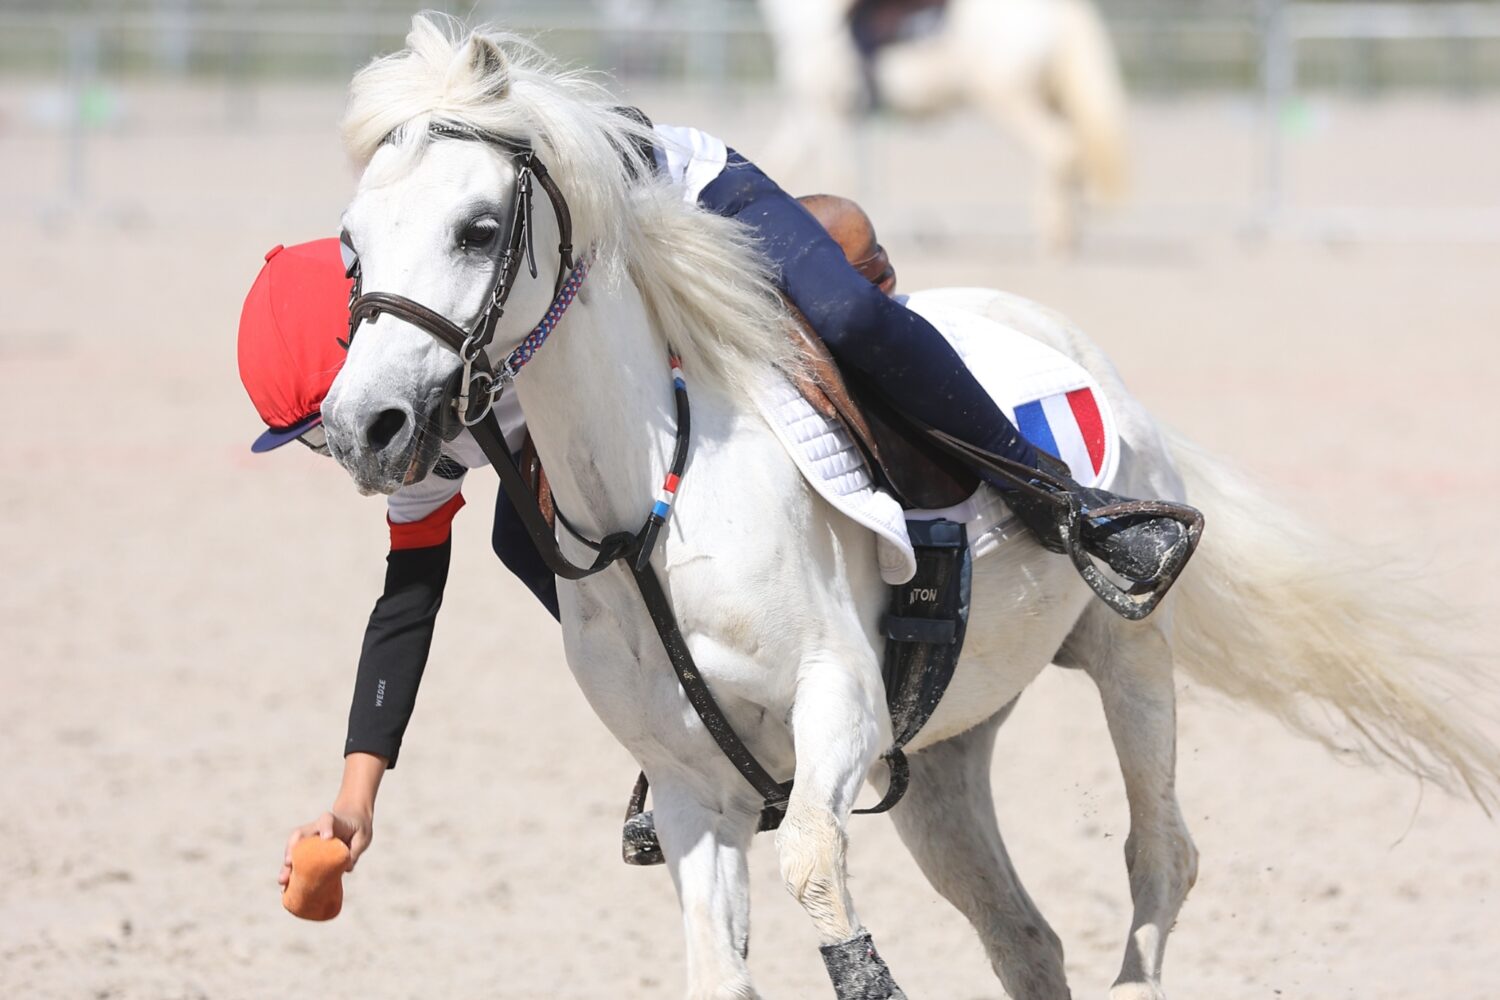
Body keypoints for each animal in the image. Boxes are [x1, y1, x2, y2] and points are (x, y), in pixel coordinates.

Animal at [757, 0, 1129, 253]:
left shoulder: (825, 107)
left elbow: (838, 175)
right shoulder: (813, 111)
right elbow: (780, 162)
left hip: (1005, 98)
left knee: (1059, 149)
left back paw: (1054, 238)